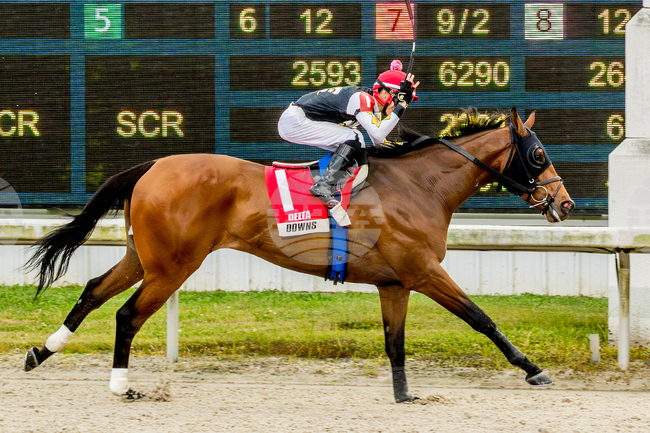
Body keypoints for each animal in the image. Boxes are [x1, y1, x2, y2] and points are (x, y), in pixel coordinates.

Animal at [24, 107, 575, 402]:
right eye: (539, 155)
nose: (565, 203)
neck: (420, 185)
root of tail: (154, 163)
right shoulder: (423, 271)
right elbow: (481, 318)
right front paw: (533, 369)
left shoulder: (394, 282)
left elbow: (395, 343)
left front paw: (404, 393)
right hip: (174, 266)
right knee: (126, 315)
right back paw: (121, 386)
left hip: (145, 257)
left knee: (93, 291)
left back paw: (40, 351)